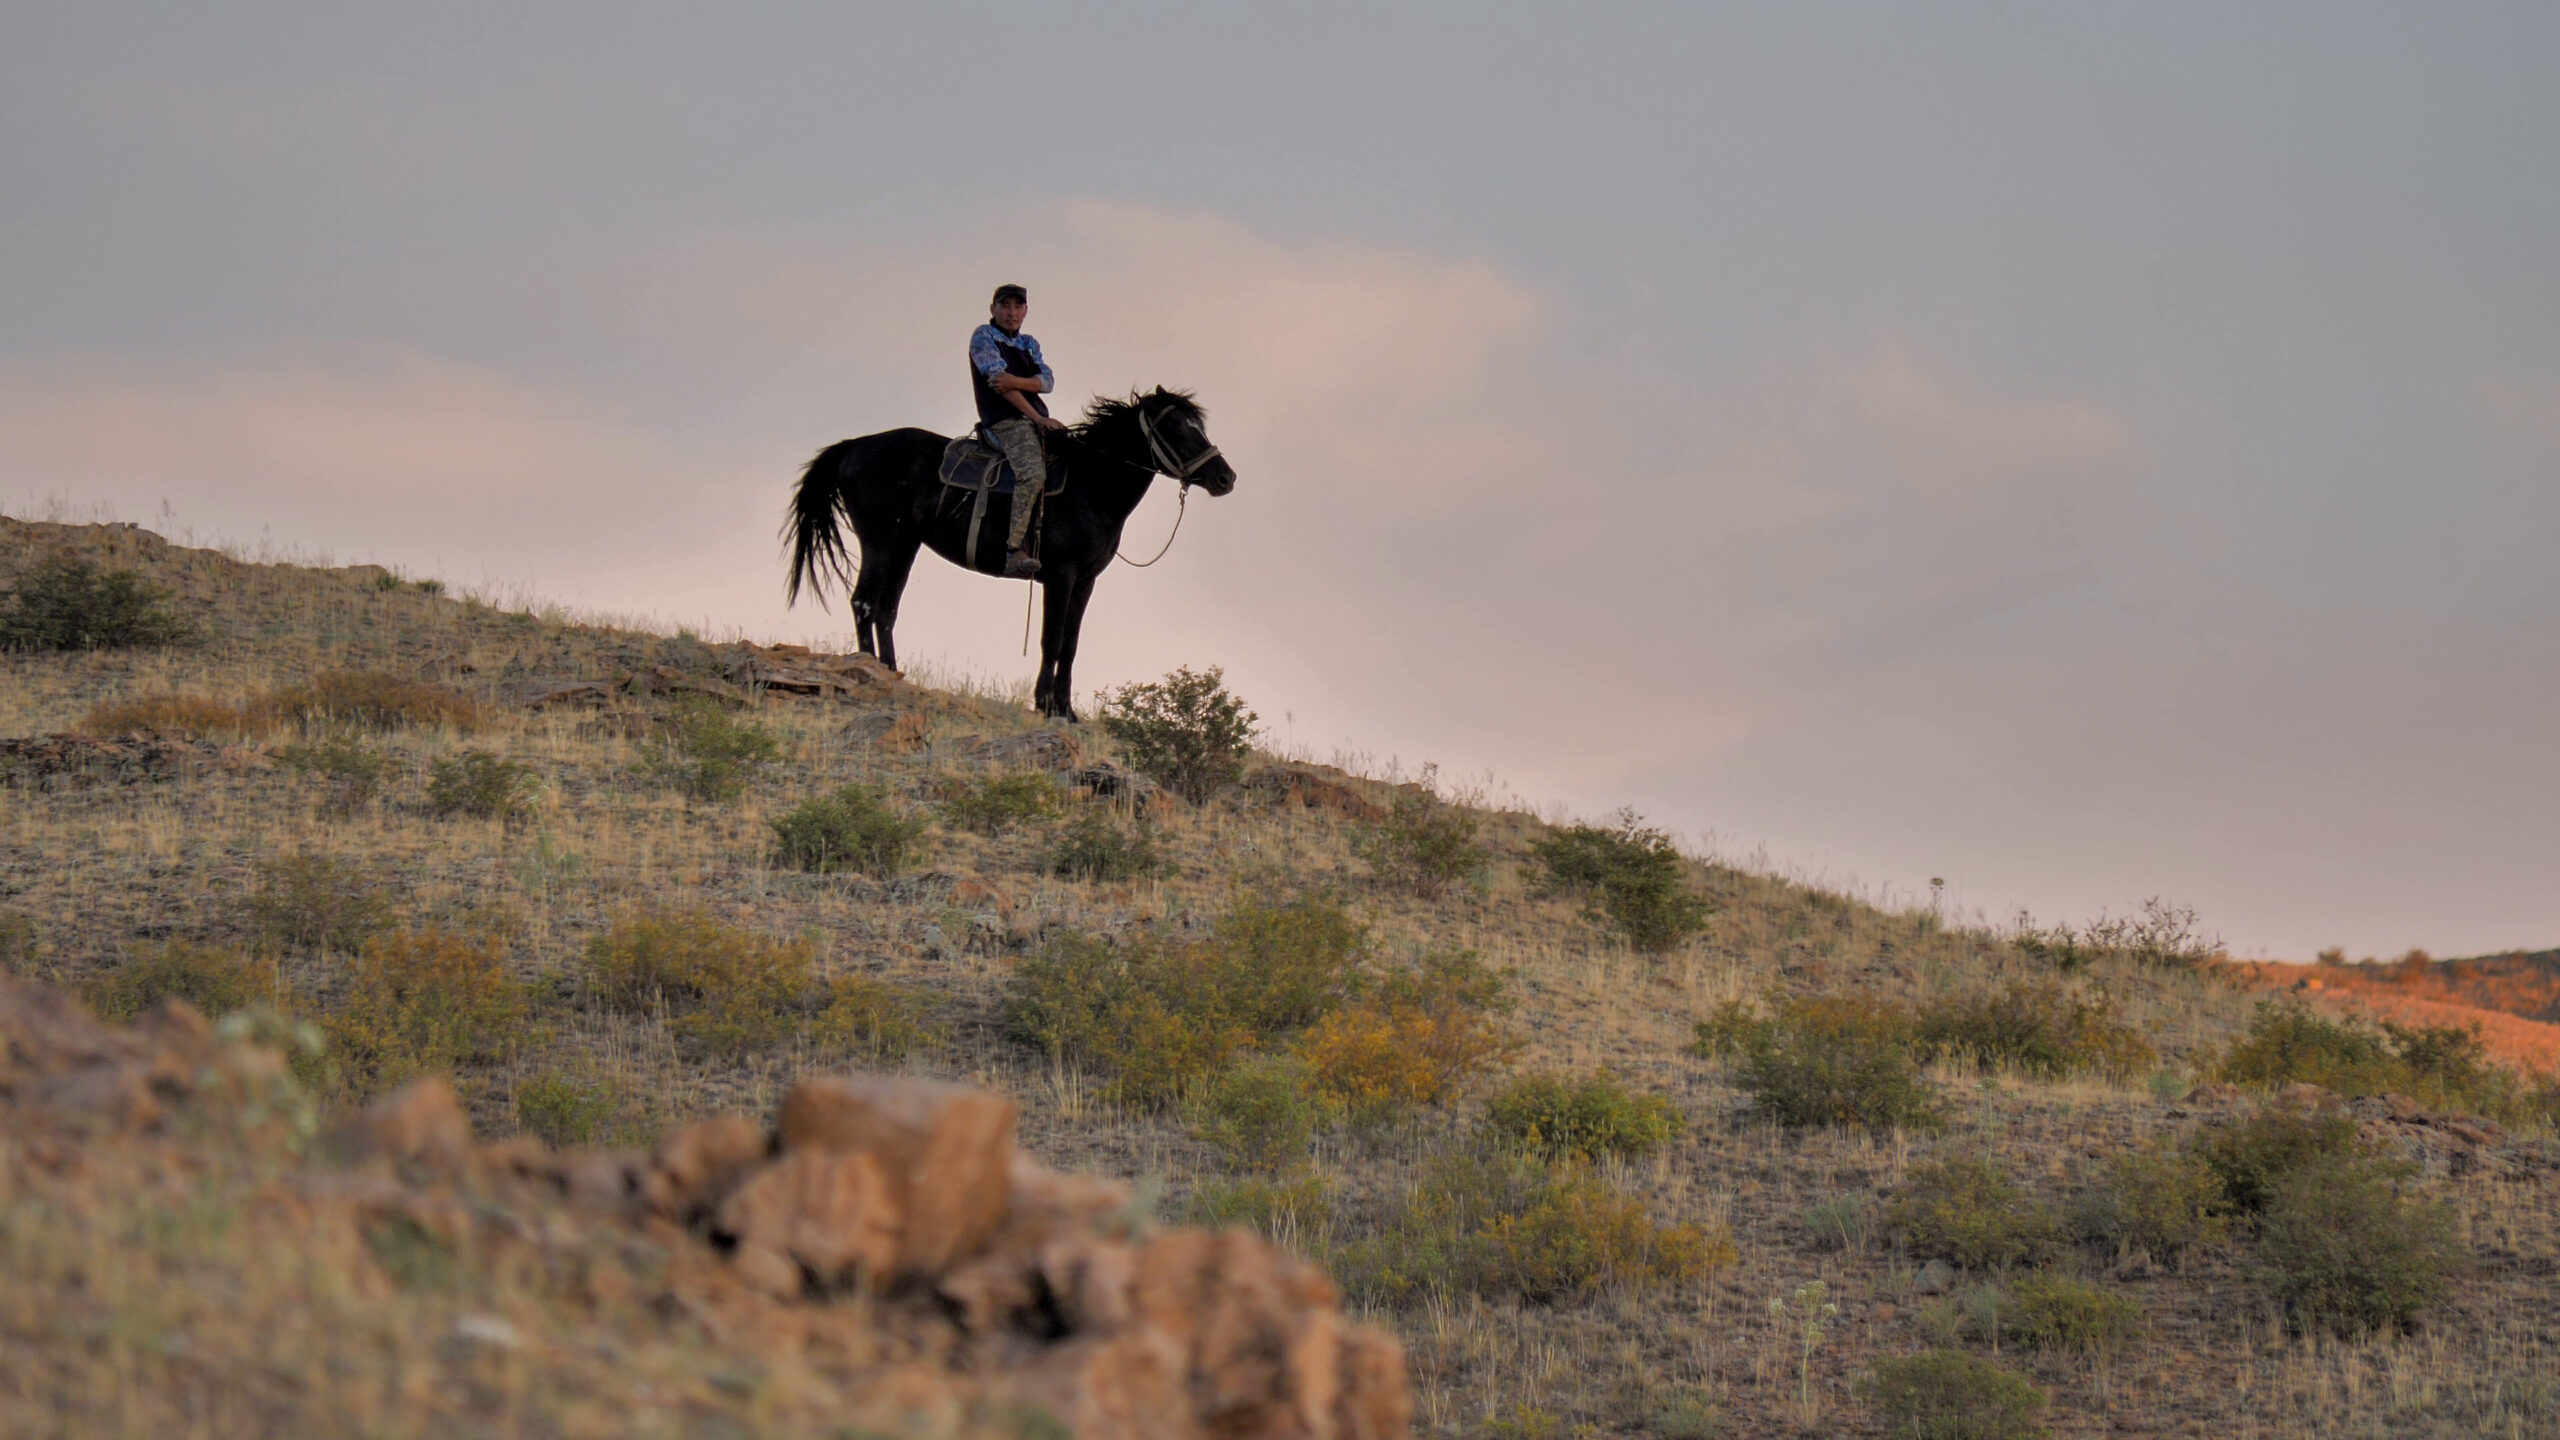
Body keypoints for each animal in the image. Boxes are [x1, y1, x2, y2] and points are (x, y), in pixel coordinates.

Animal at [778, 386, 1228, 717]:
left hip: (905, 545)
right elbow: (1051, 640)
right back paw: (871, 671)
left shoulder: (1085, 581)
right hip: (879, 540)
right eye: (1177, 428)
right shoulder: (1060, 577)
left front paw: (1066, 709)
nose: (1226, 478)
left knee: (887, 608)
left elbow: (1071, 643)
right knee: (865, 602)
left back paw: (891, 671)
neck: (1091, 486)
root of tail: (856, 446)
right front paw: (1047, 706)